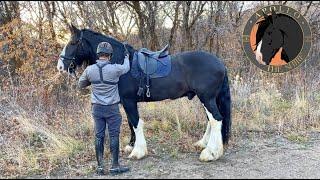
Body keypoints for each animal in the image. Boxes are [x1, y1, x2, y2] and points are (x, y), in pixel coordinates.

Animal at [57, 24, 231, 161]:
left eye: (73, 42)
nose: (60, 66)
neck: (121, 63)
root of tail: (220, 63)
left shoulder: (129, 101)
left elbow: (136, 123)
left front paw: (138, 151)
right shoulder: (127, 102)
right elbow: (130, 122)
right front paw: (131, 145)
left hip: (207, 98)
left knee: (216, 120)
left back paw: (210, 153)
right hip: (207, 99)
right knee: (211, 120)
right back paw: (203, 144)